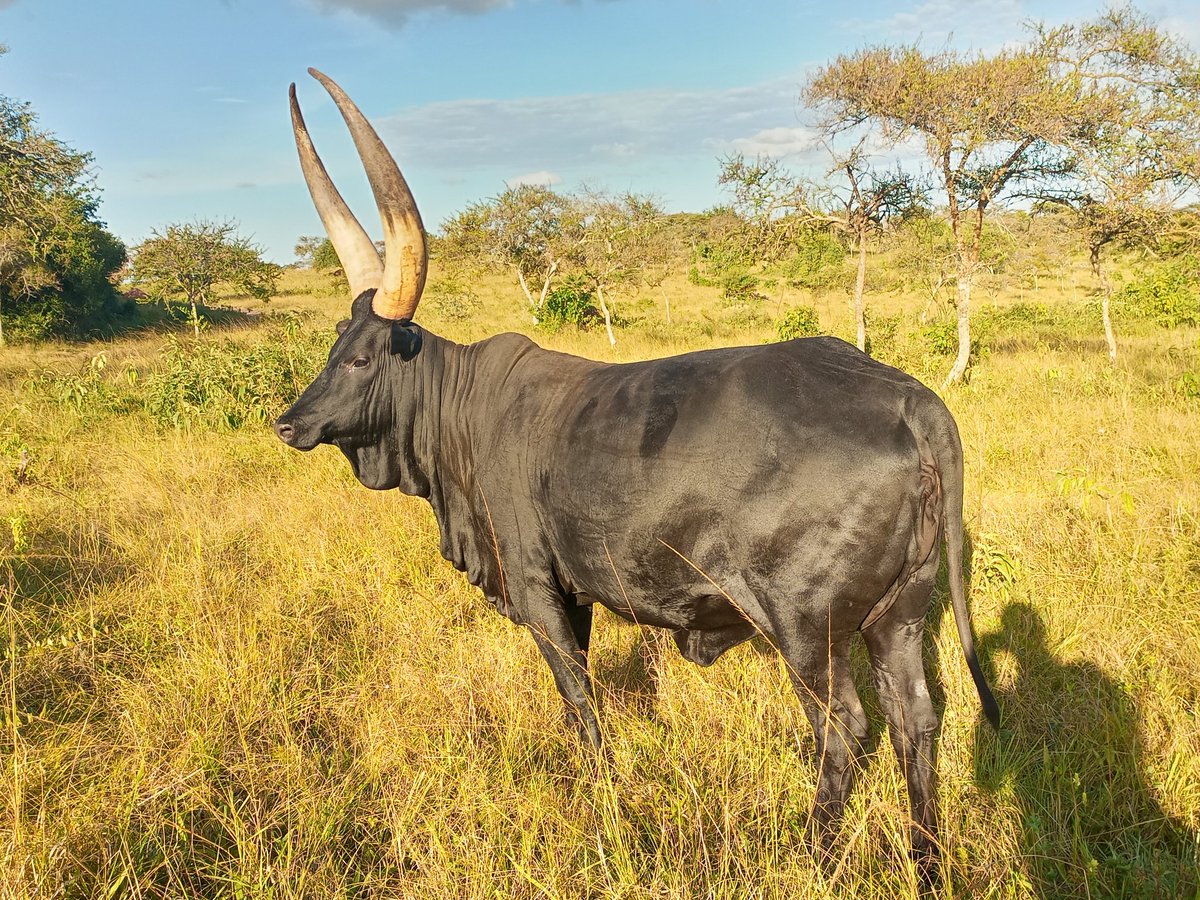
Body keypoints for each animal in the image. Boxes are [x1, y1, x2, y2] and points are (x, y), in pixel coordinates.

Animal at [276, 70, 998, 883]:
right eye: (334, 346)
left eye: (362, 358)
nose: (288, 423)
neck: (461, 412)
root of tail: (909, 398)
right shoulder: (579, 592)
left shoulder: (537, 585)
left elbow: (579, 702)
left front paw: (602, 801)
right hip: (897, 617)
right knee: (917, 719)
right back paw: (927, 862)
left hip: (806, 627)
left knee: (842, 725)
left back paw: (815, 852)